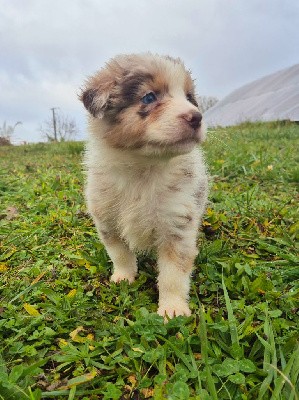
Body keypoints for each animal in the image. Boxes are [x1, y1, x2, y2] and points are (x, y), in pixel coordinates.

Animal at [81, 53, 210, 318]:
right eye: (149, 97)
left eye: (189, 97)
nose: (197, 117)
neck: (142, 169)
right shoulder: (107, 219)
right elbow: (120, 254)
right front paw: (123, 278)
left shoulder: (177, 226)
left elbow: (173, 274)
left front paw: (173, 310)